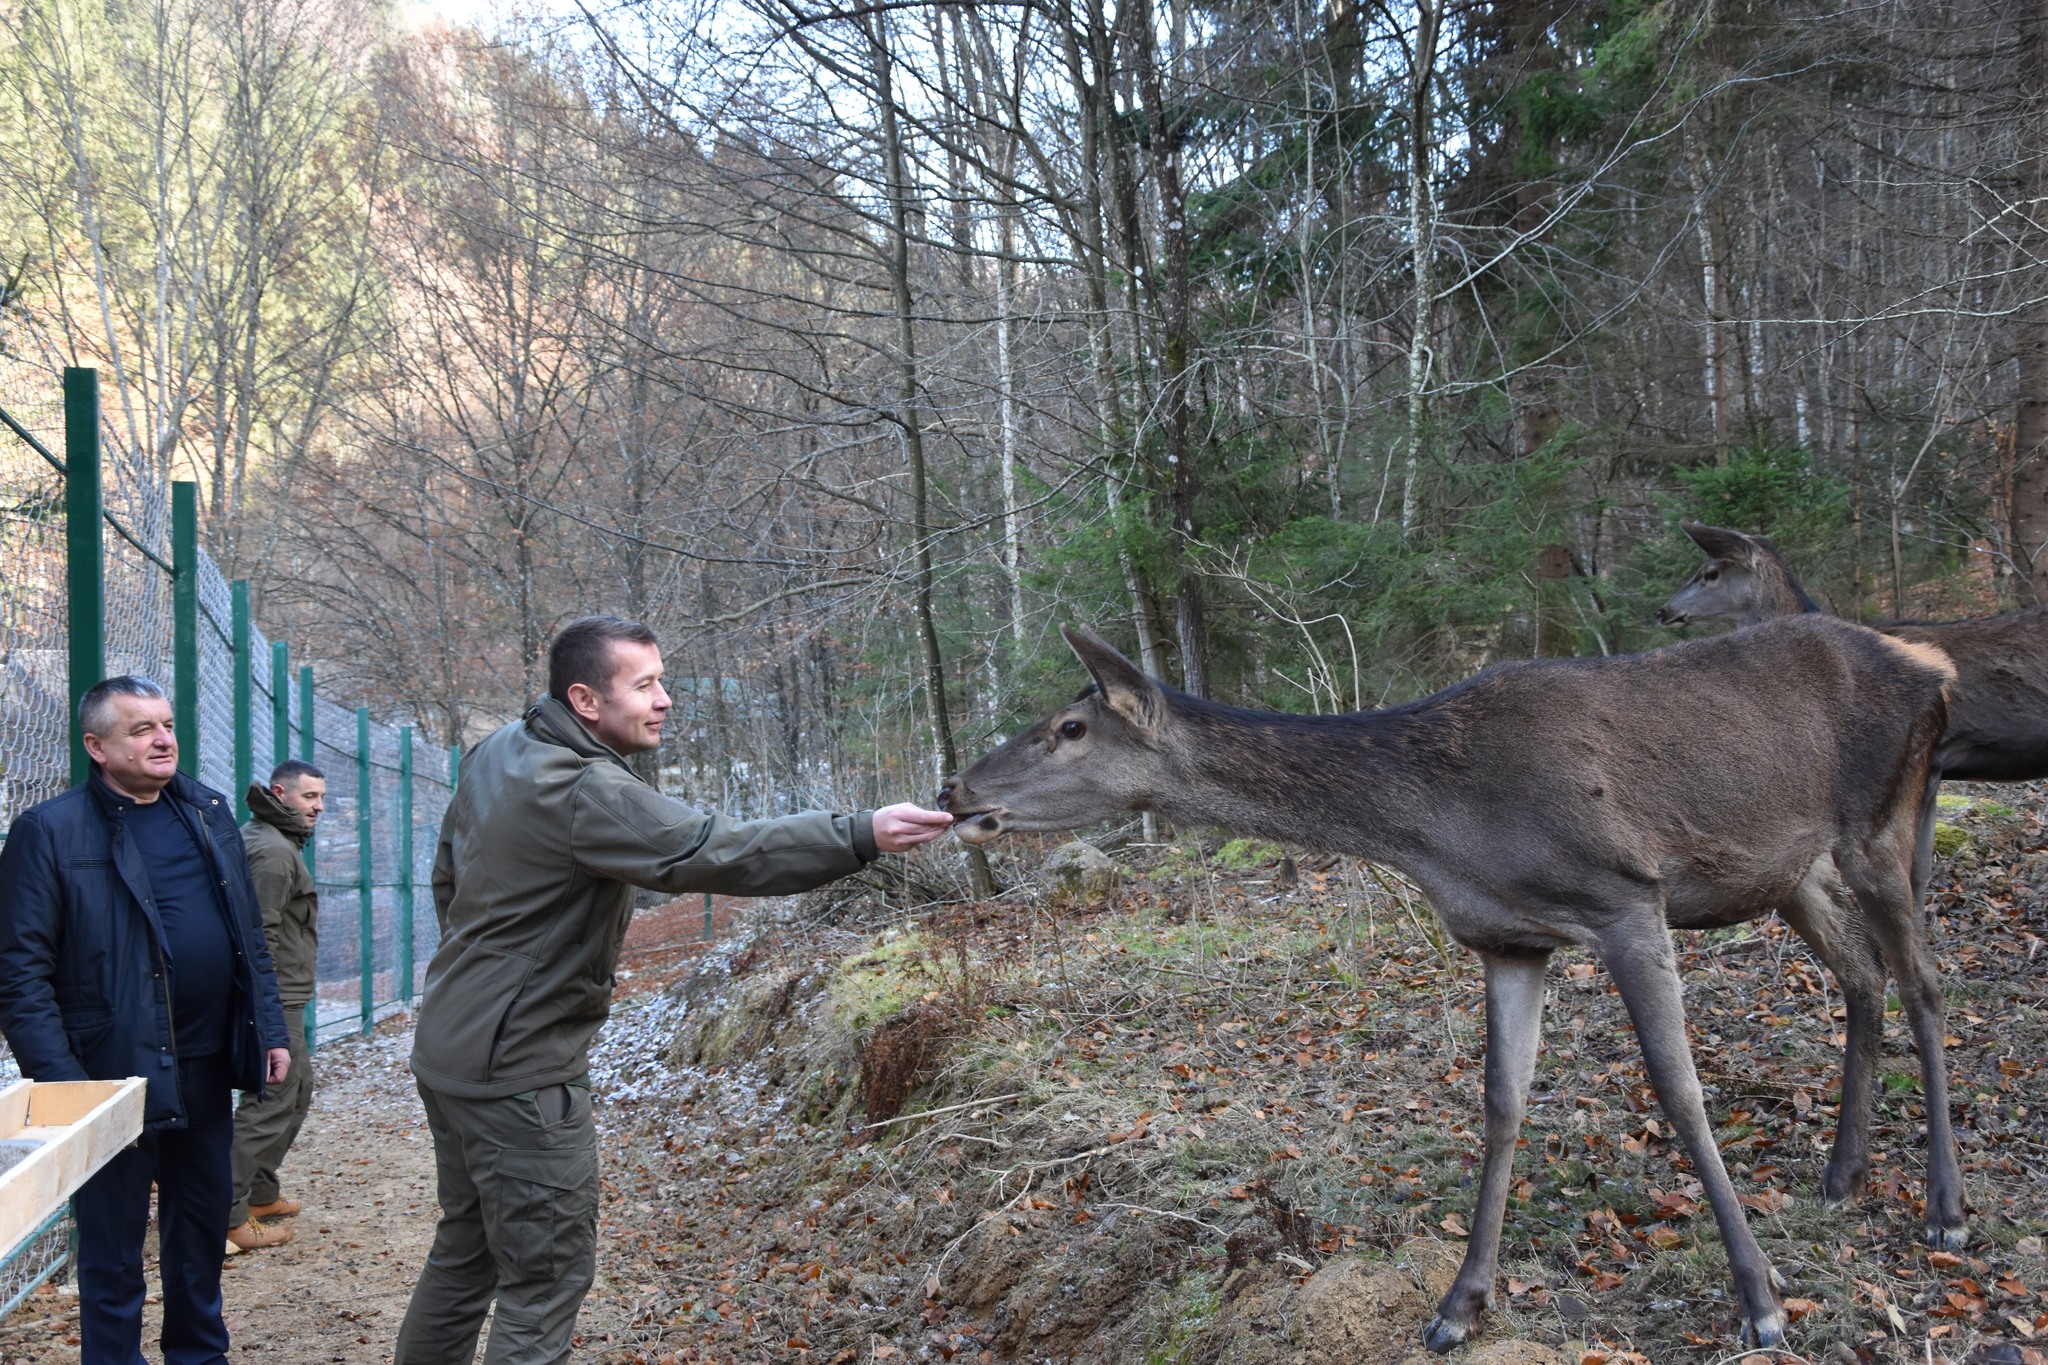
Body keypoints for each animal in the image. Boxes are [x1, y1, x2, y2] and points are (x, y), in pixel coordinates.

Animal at [937, 618, 1966, 1358]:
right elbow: (1502, 1100)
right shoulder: (1508, 938)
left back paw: (1945, 1208)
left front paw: (1760, 1300)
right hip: (1791, 867)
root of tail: (1937, 666)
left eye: (1069, 727)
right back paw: (1842, 1172)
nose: (954, 789)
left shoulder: (1628, 897)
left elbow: (1680, 1091)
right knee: (1863, 972)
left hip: (1881, 820)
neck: (1442, 827)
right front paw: (1459, 1305)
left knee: (1923, 979)